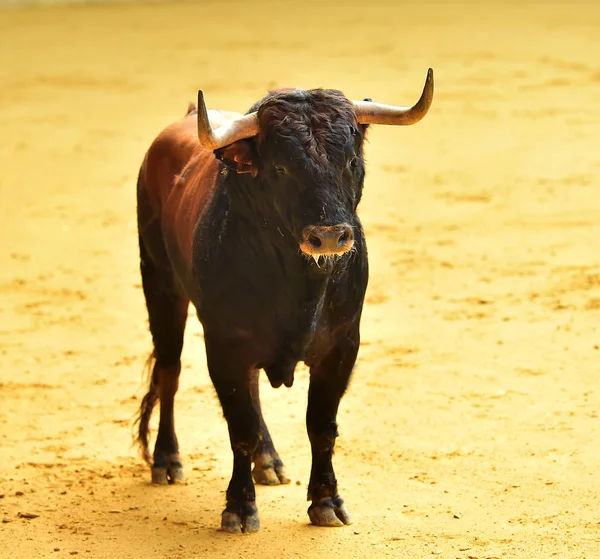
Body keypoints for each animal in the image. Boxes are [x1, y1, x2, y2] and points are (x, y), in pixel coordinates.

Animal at [135, 70, 436, 532]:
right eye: (281, 167)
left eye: (350, 161)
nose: (329, 236)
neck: (298, 284)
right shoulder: (224, 344)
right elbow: (239, 427)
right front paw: (239, 508)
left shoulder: (342, 345)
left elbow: (321, 425)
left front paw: (327, 502)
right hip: (160, 284)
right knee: (170, 369)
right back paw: (168, 461)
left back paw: (269, 462)